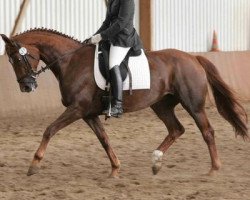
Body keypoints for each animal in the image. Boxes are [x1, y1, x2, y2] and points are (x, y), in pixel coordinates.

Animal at [0, 28, 248, 177]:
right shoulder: (88, 114)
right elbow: (104, 140)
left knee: (207, 132)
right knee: (176, 129)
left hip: (193, 104)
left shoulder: (77, 109)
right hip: (161, 105)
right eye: (10, 61)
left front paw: (34, 165)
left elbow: (49, 130)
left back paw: (214, 169)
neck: (71, 61)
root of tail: (193, 57)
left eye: (18, 58)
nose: (26, 87)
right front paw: (115, 169)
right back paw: (156, 161)